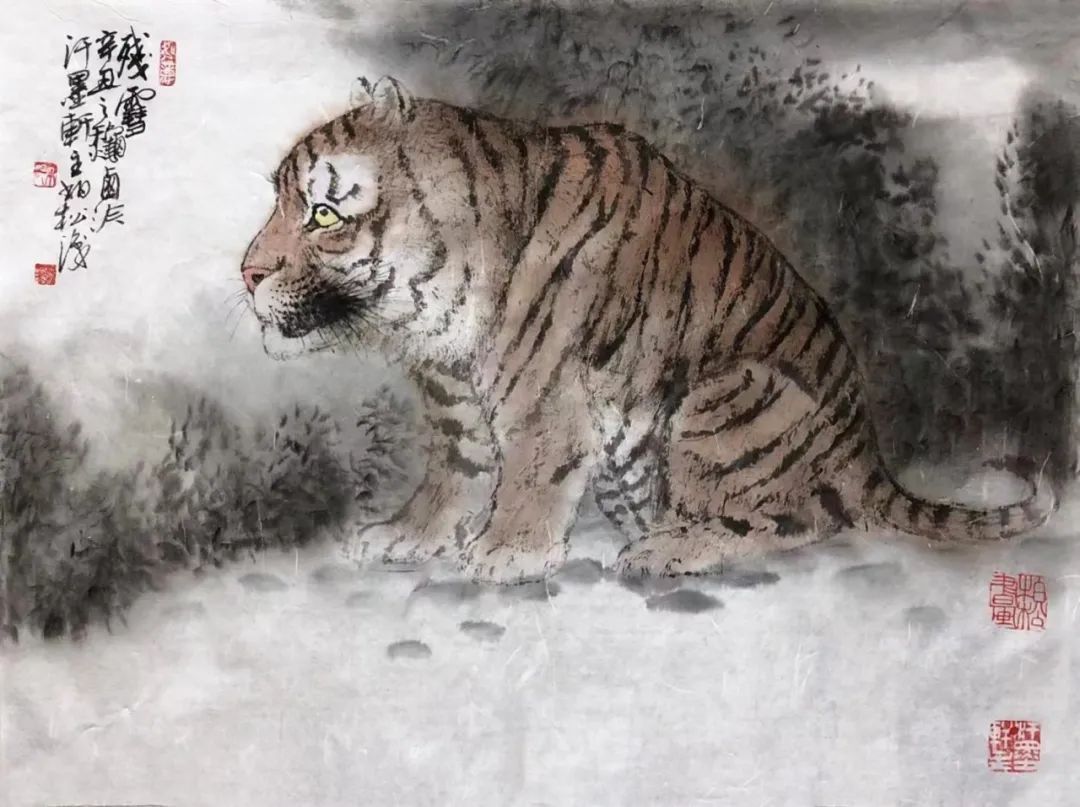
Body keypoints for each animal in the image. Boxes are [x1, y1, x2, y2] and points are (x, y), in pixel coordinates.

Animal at [239, 75, 1056, 582]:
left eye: (323, 214)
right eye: (281, 202)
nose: (246, 274)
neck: (438, 311)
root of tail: (868, 457)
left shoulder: (547, 400)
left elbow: (530, 475)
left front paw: (506, 553)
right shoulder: (455, 407)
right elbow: (454, 473)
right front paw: (409, 534)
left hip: (728, 395)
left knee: (797, 519)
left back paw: (666, 547)